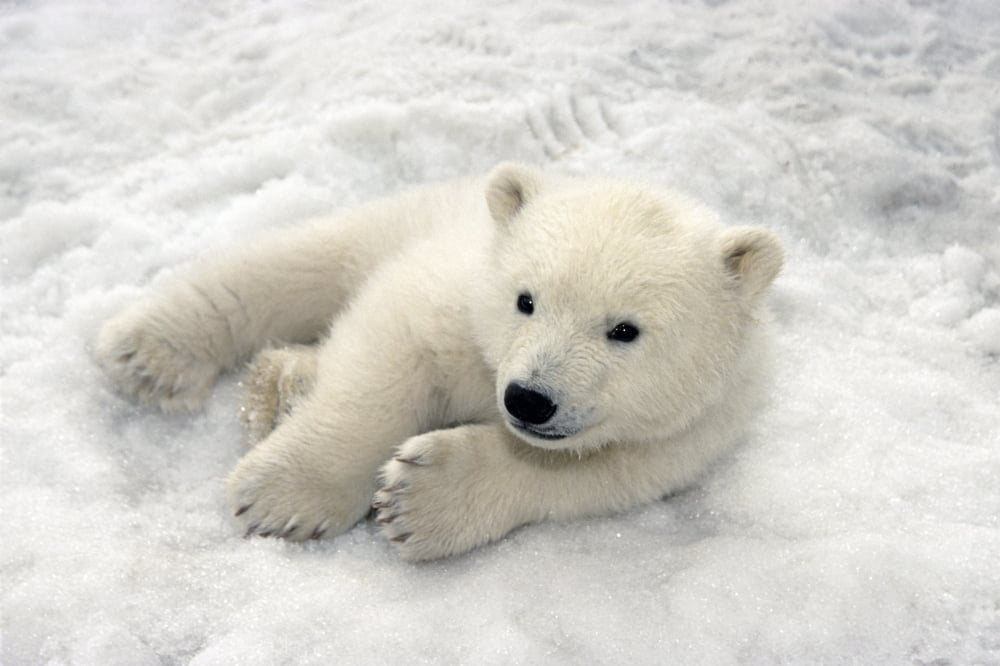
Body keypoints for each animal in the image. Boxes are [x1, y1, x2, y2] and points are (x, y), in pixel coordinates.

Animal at [94, 163, 783, 561]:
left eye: (624, 329)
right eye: (525, 299)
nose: (529, 398)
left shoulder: (682, 433)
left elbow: (584, 476)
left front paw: (416, 501)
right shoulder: (453, 296)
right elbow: (383, 357)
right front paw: (283, 497)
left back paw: (279, 386)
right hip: (403, 219)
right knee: (293, 265)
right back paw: (155, 353)